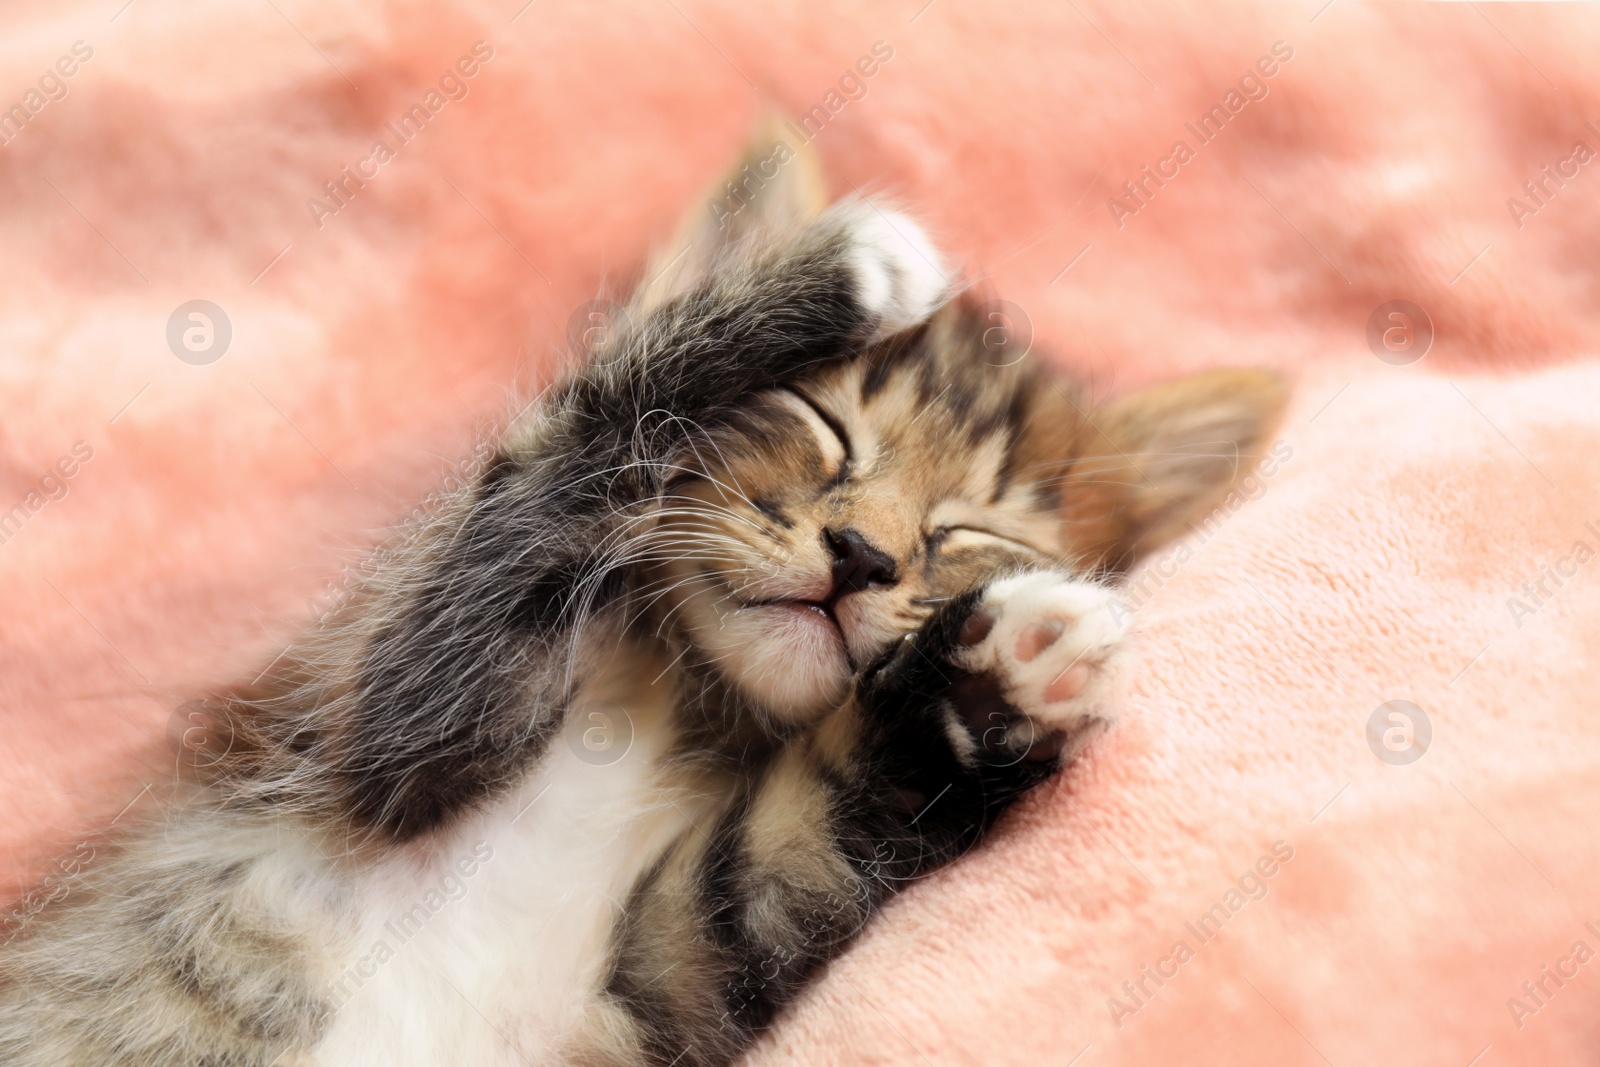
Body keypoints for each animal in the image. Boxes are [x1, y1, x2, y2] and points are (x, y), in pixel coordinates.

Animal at [0, 129, 1280, 1062]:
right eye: (816, 418)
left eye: (971, 529)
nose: (861, 556)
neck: (671, 694)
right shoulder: (377, 717)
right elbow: (572, 437)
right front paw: (819, 282)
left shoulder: (653, 977)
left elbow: (791, 851)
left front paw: (988, 678)